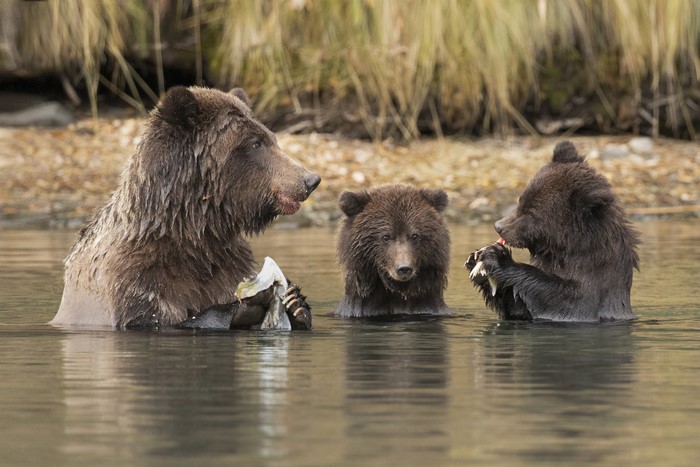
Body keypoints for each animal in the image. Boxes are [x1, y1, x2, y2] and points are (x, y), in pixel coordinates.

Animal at [51, 86, 321, 329]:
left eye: (272, 138)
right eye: (256, 143)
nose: (310, 179)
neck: (192, 232)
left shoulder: (226, 263)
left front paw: (295, 302)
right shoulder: (132, 280)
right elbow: (158, 319)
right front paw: (247, 302)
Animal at [465, 140, 640, 322]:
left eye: (531, 213)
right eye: (521, 200)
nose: (499, 226)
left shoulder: (590, 293)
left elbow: (560, 297)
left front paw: (497, 257)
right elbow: (516, 305)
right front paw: (476, 262)